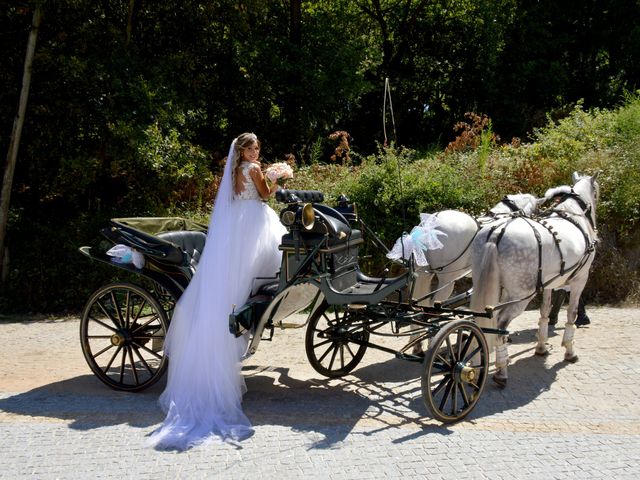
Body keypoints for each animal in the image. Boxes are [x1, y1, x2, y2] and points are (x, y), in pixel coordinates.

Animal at [468, 172, 596, 386]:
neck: (573, 214)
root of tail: (497, 233)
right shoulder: (580, 280)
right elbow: (571, 314)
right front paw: (569, 350)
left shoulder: (549, 284)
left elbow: (544, 311)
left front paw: (541, 346)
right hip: (522, 295)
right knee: (500, 324)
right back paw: (501, 371)